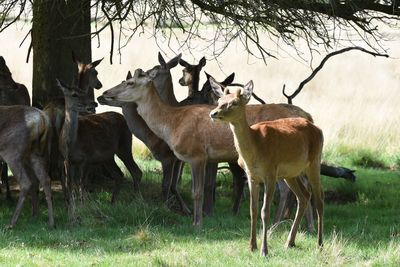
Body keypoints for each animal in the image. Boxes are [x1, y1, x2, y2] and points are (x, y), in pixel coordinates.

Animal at [101, 69, 318, 228]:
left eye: (130, 82)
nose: (104, 93)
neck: (172, 123)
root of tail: (307, 116)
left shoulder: (196, 154)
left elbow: (197, 191)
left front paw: (197, 223)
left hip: (275, 156)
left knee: (286, 189)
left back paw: (275, 225)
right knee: (304, 187)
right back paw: (307, 226)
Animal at [209, 81, 324, 258]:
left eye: (234, 103)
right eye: (220, 100)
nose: (213, 113)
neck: (255, 149)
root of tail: (317, 127)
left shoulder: (270, 173)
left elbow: (265, 211)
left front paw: (264, 250)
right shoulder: (251, 176)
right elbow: (253, 210)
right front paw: (251, 246)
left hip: (314, 162)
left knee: (319, 200)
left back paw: (319, 244)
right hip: (291, 173)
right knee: (304, 196)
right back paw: (289, 242)